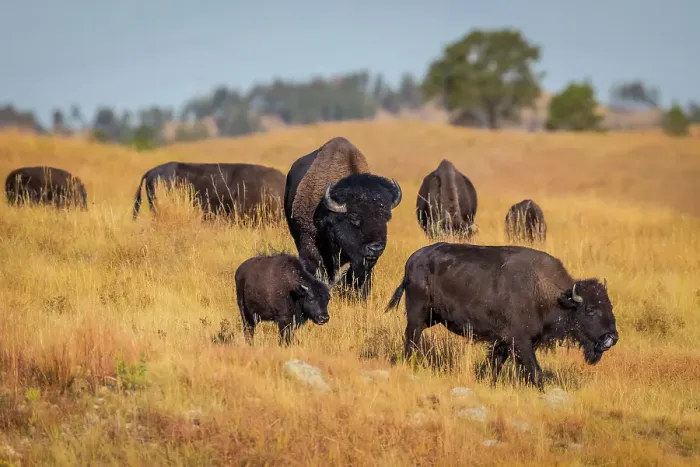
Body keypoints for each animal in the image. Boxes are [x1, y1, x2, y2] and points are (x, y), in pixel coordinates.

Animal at [386, 242, 619, 390]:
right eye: (589, 309)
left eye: (610, 306)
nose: (612, 338)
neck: (549, 293)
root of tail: (413, 260)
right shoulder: (520, 342)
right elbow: (535, 372)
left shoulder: (505, 342)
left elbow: (495, 364)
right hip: (417, 316)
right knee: (411, 339)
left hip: (432, 318)